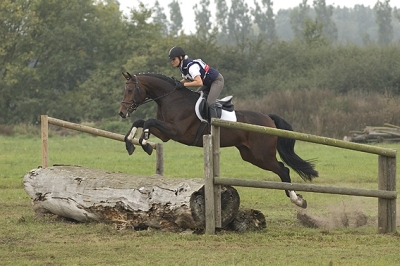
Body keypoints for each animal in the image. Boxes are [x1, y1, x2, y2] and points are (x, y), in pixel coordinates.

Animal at [118, 72, 318, 208]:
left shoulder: (176, 131)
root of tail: (268, 119)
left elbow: (148, 121)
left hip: (262, 155)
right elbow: (141, 121)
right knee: (281, 169)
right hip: (250, 155)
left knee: (283, 170)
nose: (121, 112)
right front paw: (130, 143)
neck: (172, 99)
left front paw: (144, 144)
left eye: (130, 90)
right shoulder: (166, 134)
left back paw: (297, 200)